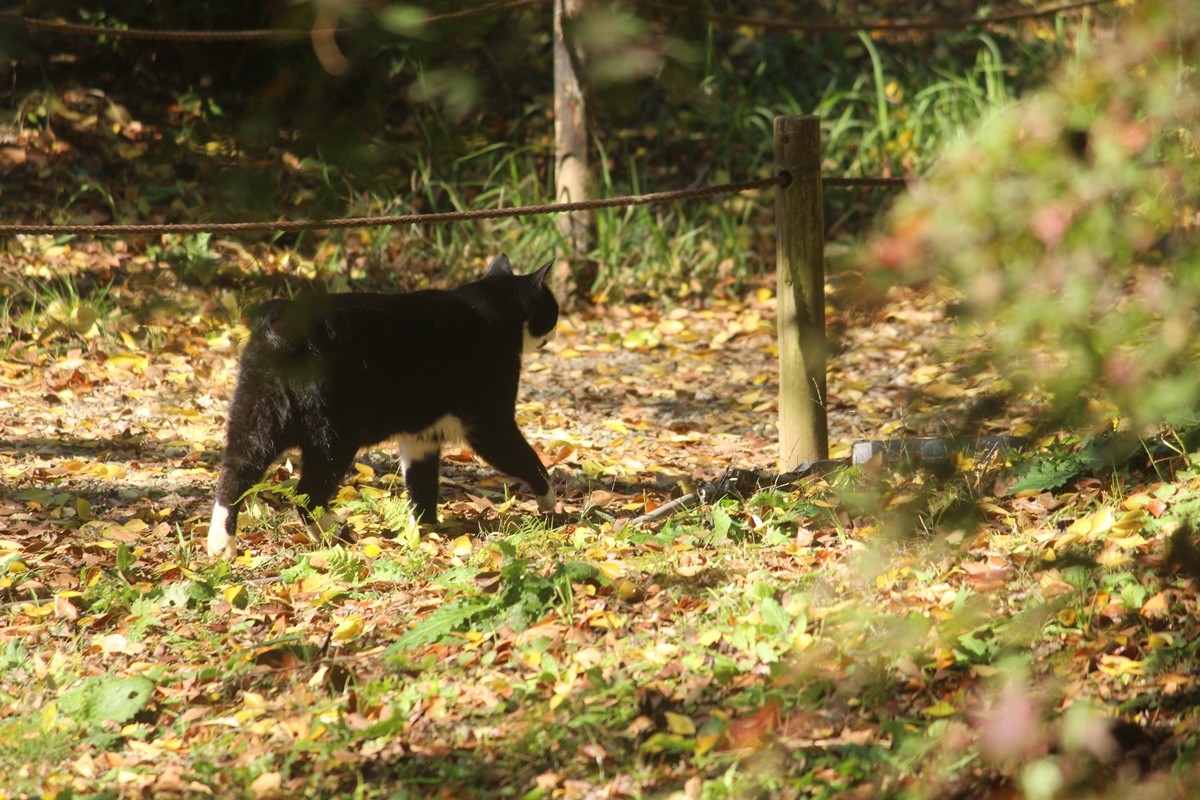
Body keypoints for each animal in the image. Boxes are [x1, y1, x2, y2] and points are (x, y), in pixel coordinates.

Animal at [207, 253, 556, 561]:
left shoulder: (422, 437)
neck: (489, 306)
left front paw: (425, 532)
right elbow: (528, 461)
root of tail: (283, 321)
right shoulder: (490, 422)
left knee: (235, 473)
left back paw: (221, 545)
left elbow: (421, 485)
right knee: (307, 493)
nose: (553, 328)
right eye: (552, 308)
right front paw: (550, 503)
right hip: (334, 434)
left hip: (257, 416)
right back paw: (335, 535)